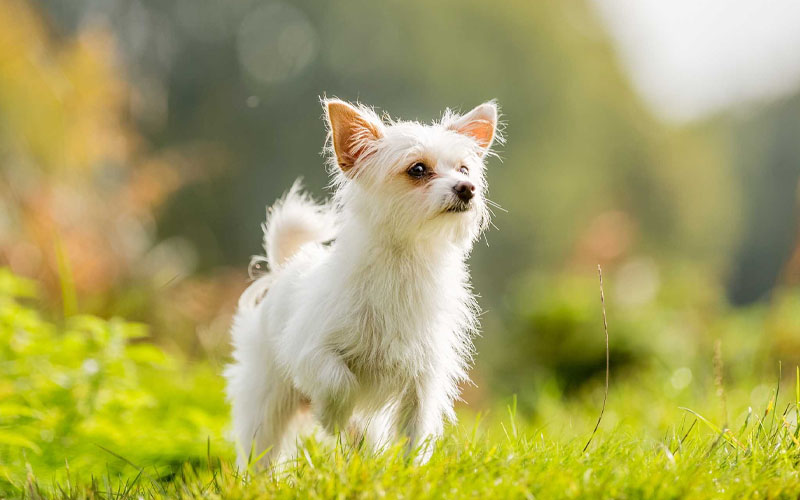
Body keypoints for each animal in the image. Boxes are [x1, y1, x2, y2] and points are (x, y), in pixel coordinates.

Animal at [225, 98, 500, 468]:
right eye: (417, 169)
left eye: (464, 170)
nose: (467, 189)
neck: (404, 261)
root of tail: (286, 265)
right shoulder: (310, 351)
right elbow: (338, 380)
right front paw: (332, 418)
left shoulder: (422, 379)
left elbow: (415, 432)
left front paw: (410, 472)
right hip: (266, 401)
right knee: (261, 451)